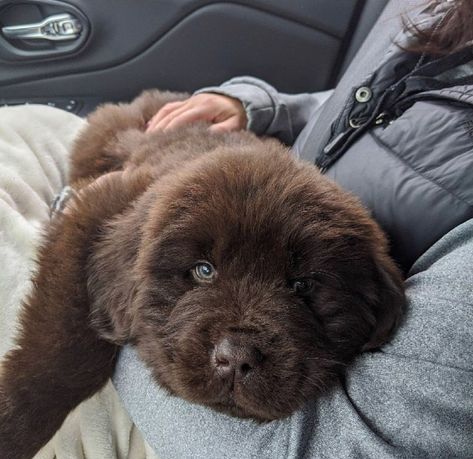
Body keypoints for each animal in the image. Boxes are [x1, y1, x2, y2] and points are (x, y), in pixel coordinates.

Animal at [0, 90, 402, 459]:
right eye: (203, 270)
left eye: (303, 285)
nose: (237, 358)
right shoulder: (99, 208)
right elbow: (65, 345)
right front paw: (14, 422)